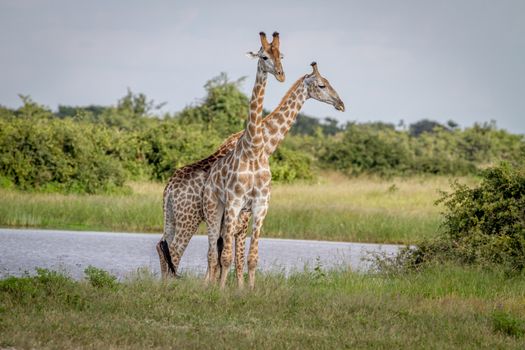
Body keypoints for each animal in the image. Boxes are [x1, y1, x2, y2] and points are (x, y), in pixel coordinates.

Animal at [158, 32, 284, 278]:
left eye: (280, 55)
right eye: (264, 56)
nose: (281, 74)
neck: (256, 146)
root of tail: (168, 188)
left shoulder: (255, 207)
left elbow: (241, 257)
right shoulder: (237, 209)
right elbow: (227, 257)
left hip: (175, 217)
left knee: (164, 247)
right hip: (195, 216)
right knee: (175, 253)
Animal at [203, 61, 346, 288]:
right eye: (322, 85)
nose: (340, 104)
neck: (265, 141)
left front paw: (240, 287)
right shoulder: (240, 205)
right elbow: (236, 251)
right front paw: (234, 287)